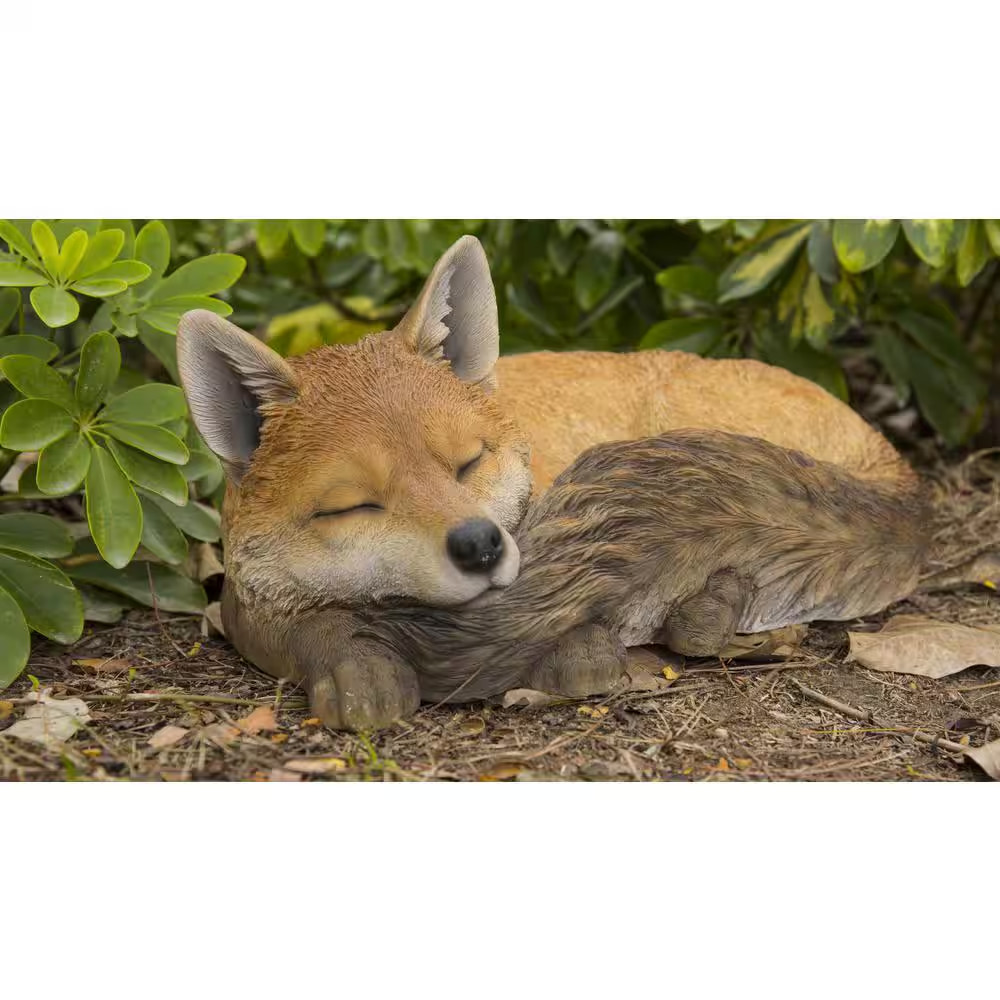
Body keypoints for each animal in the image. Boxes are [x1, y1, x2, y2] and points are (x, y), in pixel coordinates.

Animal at [176, 234, 920, 727]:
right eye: (352, 506)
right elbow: (311, 633)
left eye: (468, 463)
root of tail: (882, 445)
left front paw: (579, 653)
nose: (479, 545)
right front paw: (355, 668)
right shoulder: (245, 604)